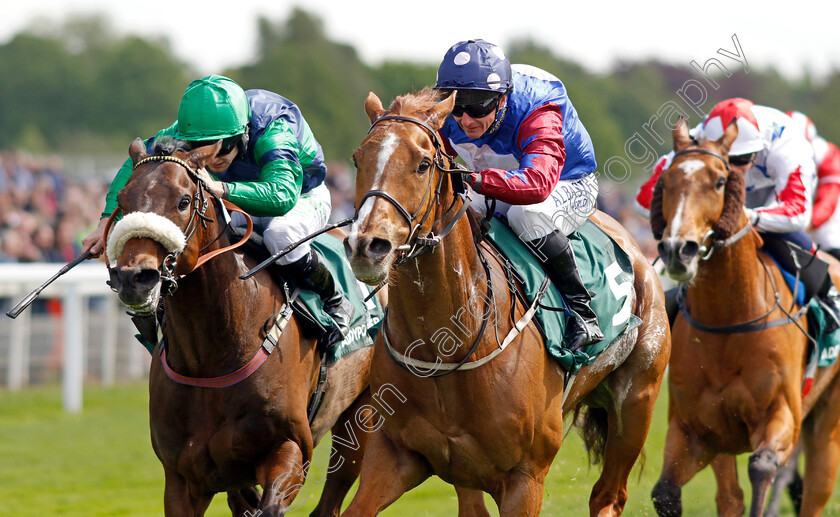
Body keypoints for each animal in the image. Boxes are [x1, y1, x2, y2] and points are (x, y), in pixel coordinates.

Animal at [106, 138, 378, 516]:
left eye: (183, 201)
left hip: (361, 411)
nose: (134, 278)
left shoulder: (290, 448)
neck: (210, 358)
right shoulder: (182, 476)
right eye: (122, 201)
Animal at [338, 89, 672, 516]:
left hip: (637, 400)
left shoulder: (526, 477)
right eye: (357, 158)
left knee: (609, 496)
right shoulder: (395, 453)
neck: (447, 347)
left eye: (423, 164)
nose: (367, 246)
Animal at [648, 119, 840, 512]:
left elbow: (764, 467)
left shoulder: (782, 417)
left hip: (826, 420)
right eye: (667, 181)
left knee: (817, 488)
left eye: (721, 181)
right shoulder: (697, 429)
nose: (677, 249)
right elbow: (667, 494)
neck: (728, 321)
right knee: (730, 496)